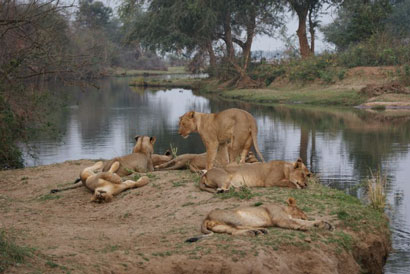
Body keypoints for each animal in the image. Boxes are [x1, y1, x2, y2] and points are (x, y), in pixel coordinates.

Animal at [186, 197, 334, 242]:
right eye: (301, 210)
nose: (306, 215)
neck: (285, 210)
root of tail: (207, 216)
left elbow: (306, 222)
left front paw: (324, 224)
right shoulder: (279, 218)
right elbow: (294, 223)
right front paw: (304, 227)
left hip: (223, 226)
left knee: (233, 232)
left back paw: (256, 232)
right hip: (234, 217)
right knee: (240, 226)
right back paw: (260, 230)